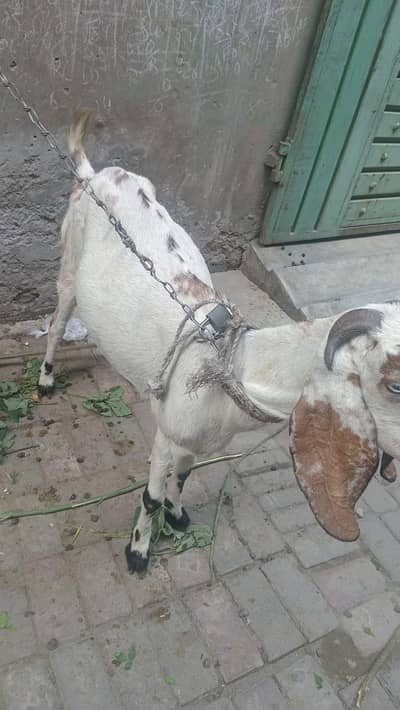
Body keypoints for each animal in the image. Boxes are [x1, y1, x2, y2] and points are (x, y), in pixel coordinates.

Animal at [40, 112, 400, 573]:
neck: (232, 367)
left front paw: (178, 517)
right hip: (69, 266)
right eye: (394, 384)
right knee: (57, 323)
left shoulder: (197, 443)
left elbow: (183, 477)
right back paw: (46, 381)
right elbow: (150, 496)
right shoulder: (167, 434)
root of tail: (92, 174)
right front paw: (138, 552)